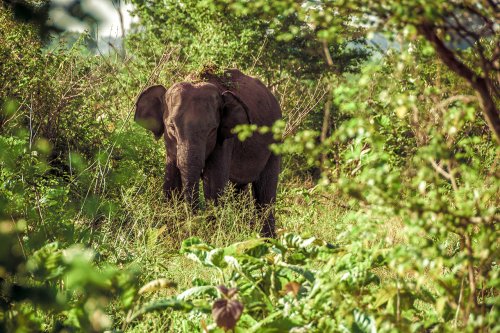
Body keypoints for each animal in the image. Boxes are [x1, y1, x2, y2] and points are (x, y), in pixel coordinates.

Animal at [133, 69, 282, 236]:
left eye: (212, 130)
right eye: (171, 128)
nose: (192, 224)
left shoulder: (224, 141)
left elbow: (213, 185)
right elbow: (171, 182)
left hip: (275, 142)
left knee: (265, 193)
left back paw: (266, 239)